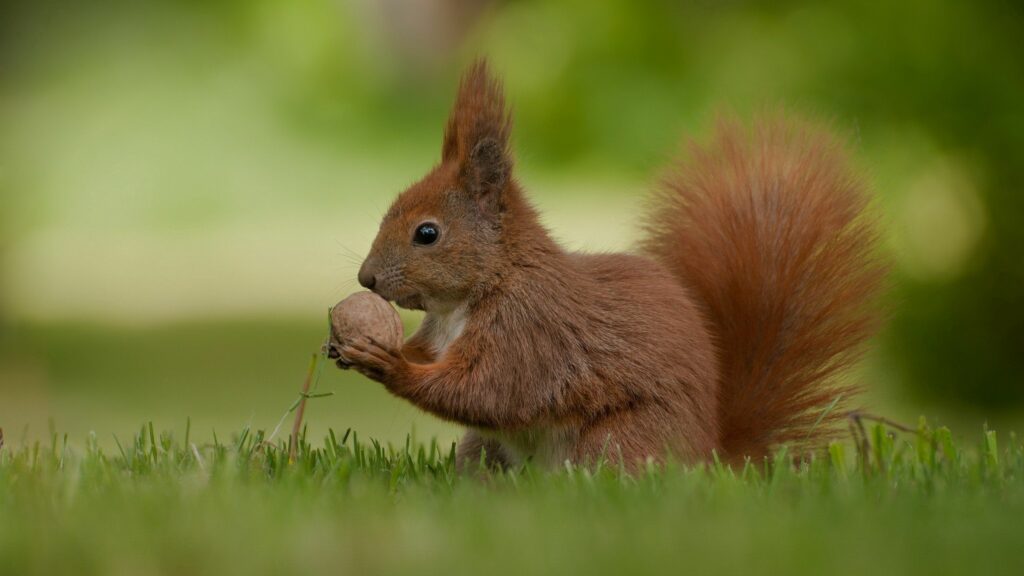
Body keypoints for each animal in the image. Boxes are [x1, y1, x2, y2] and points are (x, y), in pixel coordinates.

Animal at [332, 59, 886, 470]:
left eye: (427, 233)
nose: (366, 278)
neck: (471, 296)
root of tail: (710, 455)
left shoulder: (531, 332)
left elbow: (486, 392)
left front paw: (390, 364)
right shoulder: (444, 333)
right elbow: (436, 361)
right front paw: (352, 347)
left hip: (616, 441)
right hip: (483, 449)